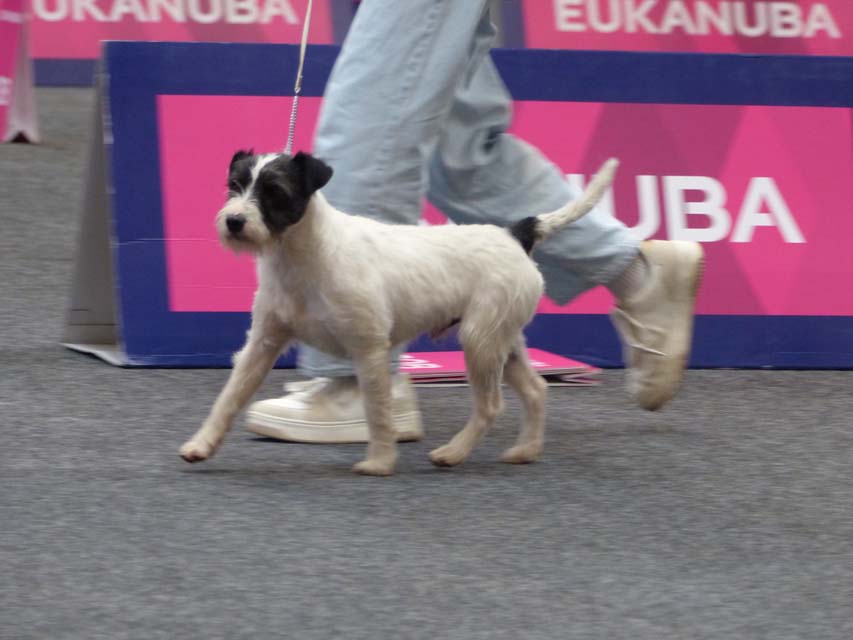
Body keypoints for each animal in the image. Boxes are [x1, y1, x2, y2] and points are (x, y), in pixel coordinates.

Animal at [179, 150, 618, 475]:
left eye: (274, 190)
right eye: (234, 185)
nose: (234, 221)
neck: (303, 255)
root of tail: (515, 235)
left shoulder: (369, 348)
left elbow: (378, 410)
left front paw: (379, 461)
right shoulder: (263, 343)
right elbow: (230, 397)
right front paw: (201, 444)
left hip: (479, 342)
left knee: (491, 405)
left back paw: (453, 452)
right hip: (502, 341)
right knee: (536, 389)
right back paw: (525, 450)